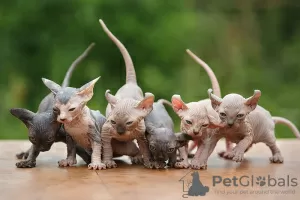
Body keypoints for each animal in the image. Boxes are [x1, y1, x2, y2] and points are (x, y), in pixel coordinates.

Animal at [98, 18, 156, 169]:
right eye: (113, 121)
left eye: (129, 122)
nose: (119, 132)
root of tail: (131, 83)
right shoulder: (106, 130)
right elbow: (107, 147)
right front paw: (108, 162)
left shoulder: (141, 134)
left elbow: (145, 149)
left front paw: (148, 162)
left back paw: (137, 158)